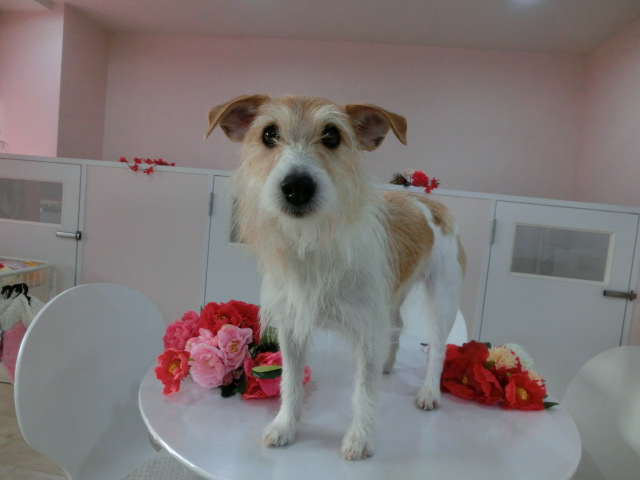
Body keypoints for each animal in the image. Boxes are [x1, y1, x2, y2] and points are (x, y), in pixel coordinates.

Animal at [205, 94, 465, 460]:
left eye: (332, 136)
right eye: (269, 134)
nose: (297, 186)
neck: (313, 242)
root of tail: (426, 201)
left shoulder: (367, 331)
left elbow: (364, 391)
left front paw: (359, 439)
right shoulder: (291, 328)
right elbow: (289, 381)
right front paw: (286, 425)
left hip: (442, 299)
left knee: (439, 347)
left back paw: (429, 392)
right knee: (396, 325)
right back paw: (387, 363)